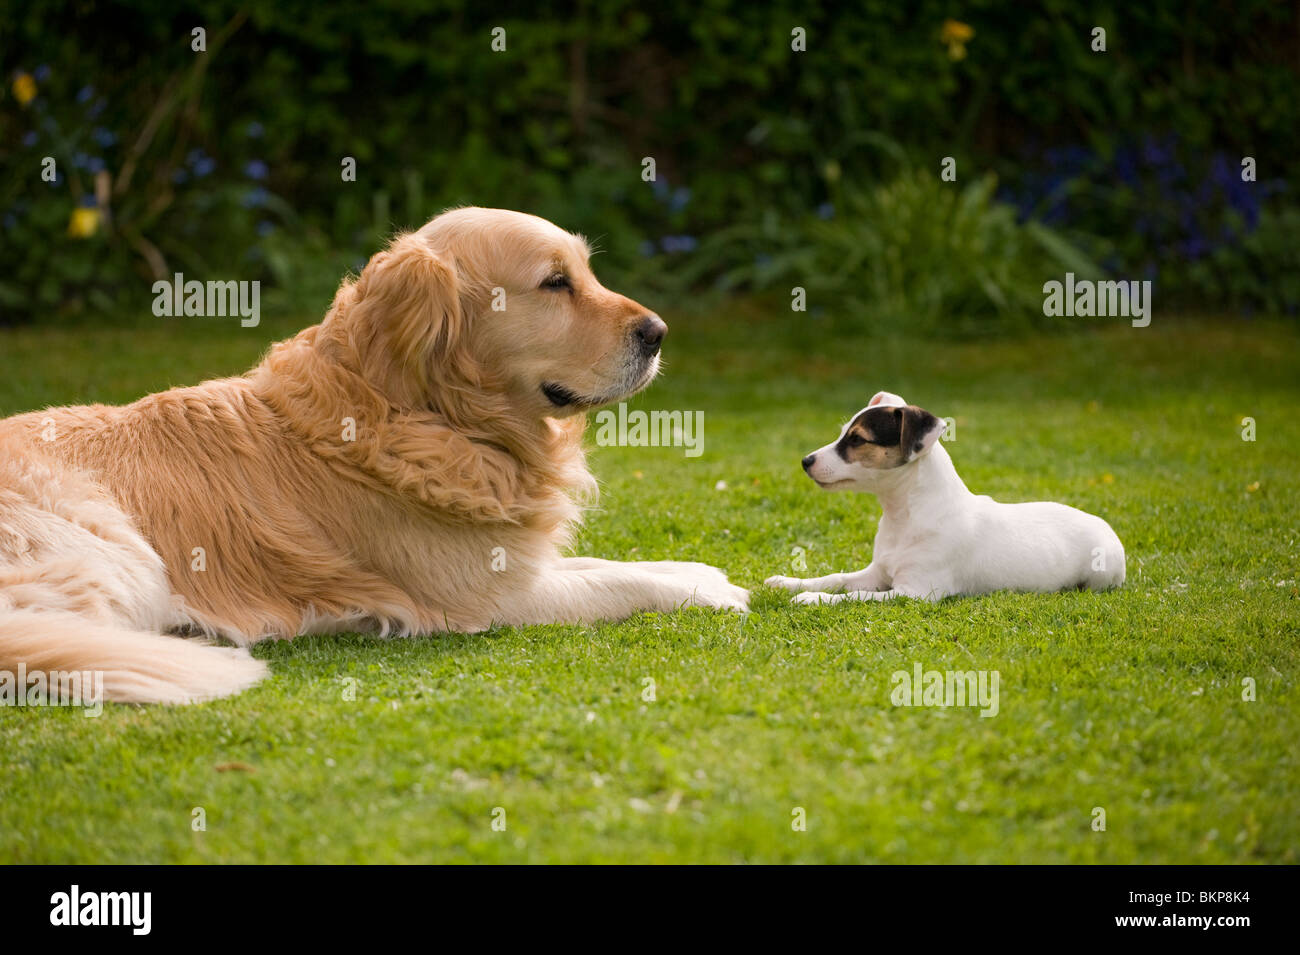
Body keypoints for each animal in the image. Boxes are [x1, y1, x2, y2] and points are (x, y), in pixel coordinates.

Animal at [764, 389, 1123, 605]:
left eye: (857, 440)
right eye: (843, 434)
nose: (805, 461)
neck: (904, 516)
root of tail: (1106, 526)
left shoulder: (913, 592)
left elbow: (856, 596)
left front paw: (813, 600)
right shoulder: (877, 572)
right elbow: (835, 578)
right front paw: (790, 583)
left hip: (1101, 574)